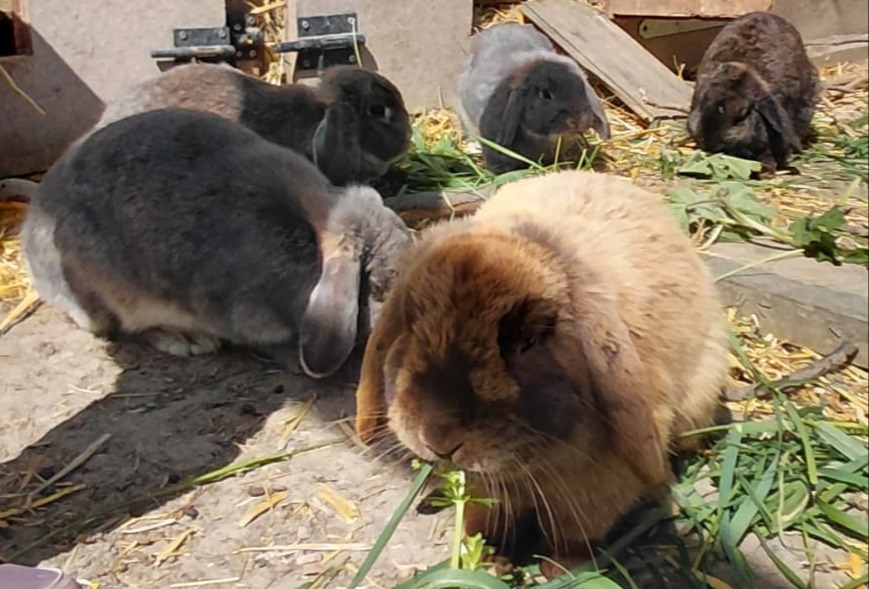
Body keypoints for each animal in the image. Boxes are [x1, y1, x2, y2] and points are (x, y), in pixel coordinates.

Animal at [353, 170, 729, 577]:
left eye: (530, 339)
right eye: (412, 323)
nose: (438, 438)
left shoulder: (597, 491)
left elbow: (573, 535)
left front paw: (562, 572)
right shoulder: (487, 492)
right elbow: (482, 521)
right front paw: (486, 562)